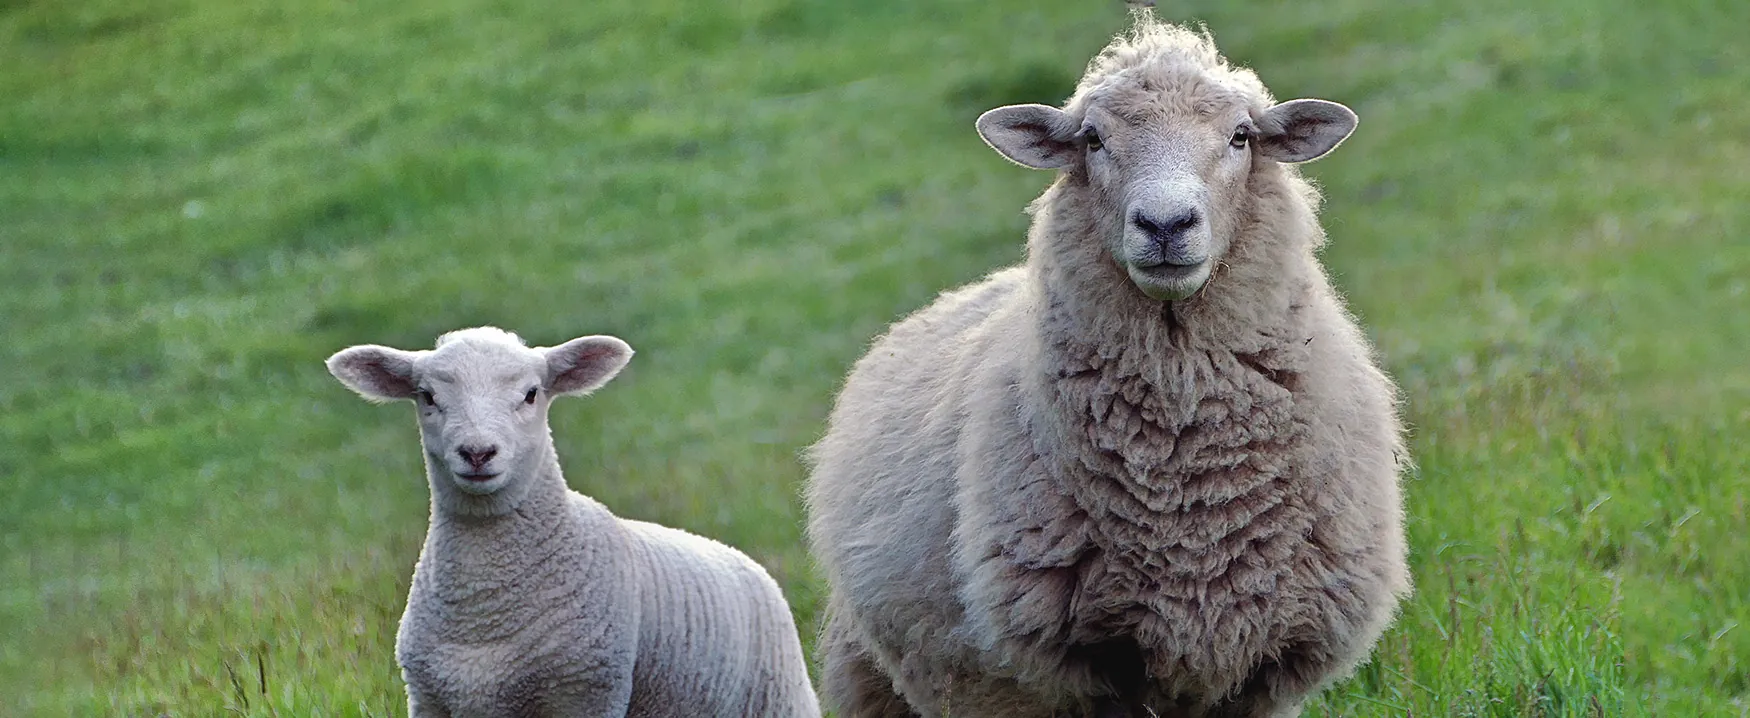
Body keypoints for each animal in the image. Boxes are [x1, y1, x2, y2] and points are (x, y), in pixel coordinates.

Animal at [325, 326, 820, 718]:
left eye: (531, 394)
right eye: (428, 397)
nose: (478, 453)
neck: (484, 609)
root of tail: (740, 557)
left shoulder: (585, 692)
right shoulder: (430, 699)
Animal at [804, 14, 1409, 718]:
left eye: (1241, 135)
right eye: (1092, 139)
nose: (1165, 224)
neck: (1187, 481)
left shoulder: (1261, 664)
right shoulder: (1084, 667)